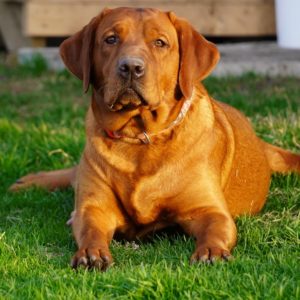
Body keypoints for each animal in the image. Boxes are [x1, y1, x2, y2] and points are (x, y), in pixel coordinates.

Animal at [9, 7, 300, 270]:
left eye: (160, 42)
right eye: (110, 39)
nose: (131, 67)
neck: (139, 136)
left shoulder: (209, 209)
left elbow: (215, 229)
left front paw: (211, 251)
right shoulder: (94, 207)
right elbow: (90, 228)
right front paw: (91, 253)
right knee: (73, 174)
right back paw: (30, 181)